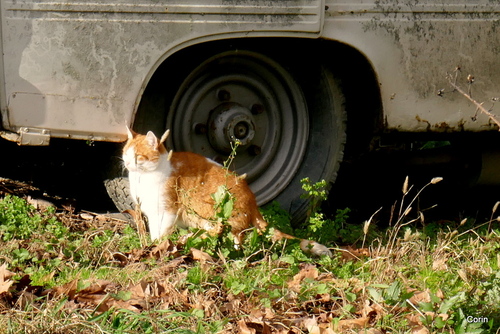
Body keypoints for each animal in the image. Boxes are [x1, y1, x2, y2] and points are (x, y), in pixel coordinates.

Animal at [122, 126, 332, 258]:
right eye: (125, 153)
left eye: (138, 156)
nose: (127, 163)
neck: (143, 178)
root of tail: (253, 202)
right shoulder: (149, 211)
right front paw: (149, 245)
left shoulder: (166, 210)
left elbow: (160, 233)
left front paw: (156, 246)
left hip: (209, 208)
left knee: (227, 234)